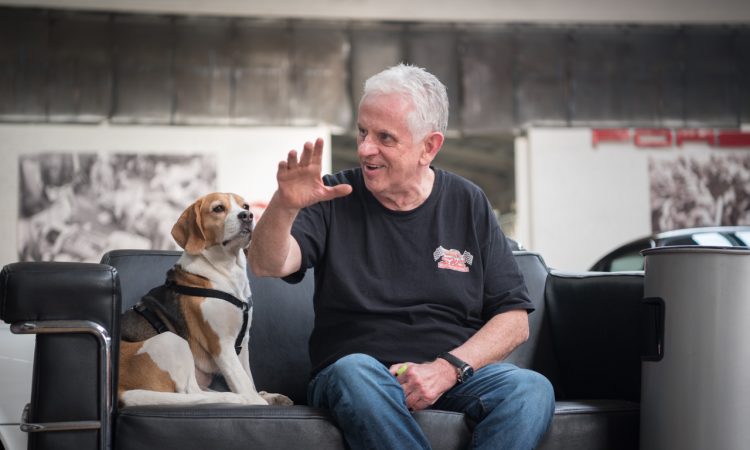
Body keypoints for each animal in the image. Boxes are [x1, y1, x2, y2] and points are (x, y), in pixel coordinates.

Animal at [119, 192, 292, 408]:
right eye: (218, 208)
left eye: (245, 206)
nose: (247, 216)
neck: (226, 270)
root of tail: (119, 390)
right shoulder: (221, 345)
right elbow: (243, 381)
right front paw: (255, 401)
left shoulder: (243, 342)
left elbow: (248, 378)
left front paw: (260, 395)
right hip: (171, 340)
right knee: (191, 392)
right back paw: (238, 399)